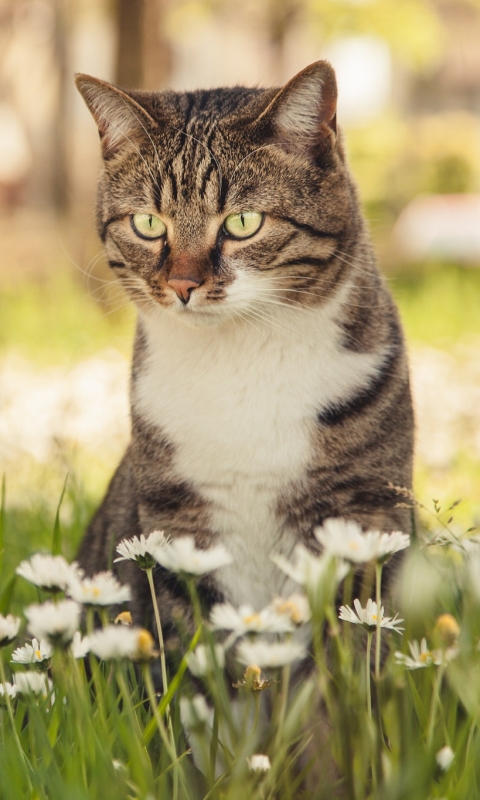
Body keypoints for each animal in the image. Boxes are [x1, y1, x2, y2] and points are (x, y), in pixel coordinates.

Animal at [75, 57, 412, 656]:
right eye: (148, 224)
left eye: (242, 222)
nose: (182, 285)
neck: (239, 362)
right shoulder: (176, 524)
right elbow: (193, 654)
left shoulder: (366, 512)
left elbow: (348, 656)